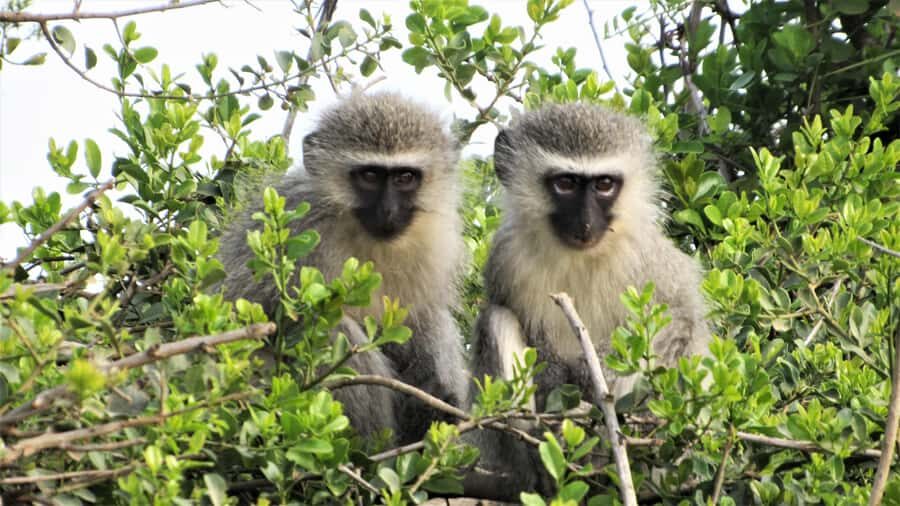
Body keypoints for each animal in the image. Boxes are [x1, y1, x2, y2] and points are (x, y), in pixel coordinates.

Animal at [217, 92, 469, 444]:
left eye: (405, 177)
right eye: (370, 176)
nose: (389, 211)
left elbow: (417, 318)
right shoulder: (295, 226)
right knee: (330, 324)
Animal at [467, 102, 711, 496]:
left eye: (604, 184)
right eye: (565, 183)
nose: (585, 223)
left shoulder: (650, 259)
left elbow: (679, 319)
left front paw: (593, 375)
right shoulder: (506, 258)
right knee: (495, 318)